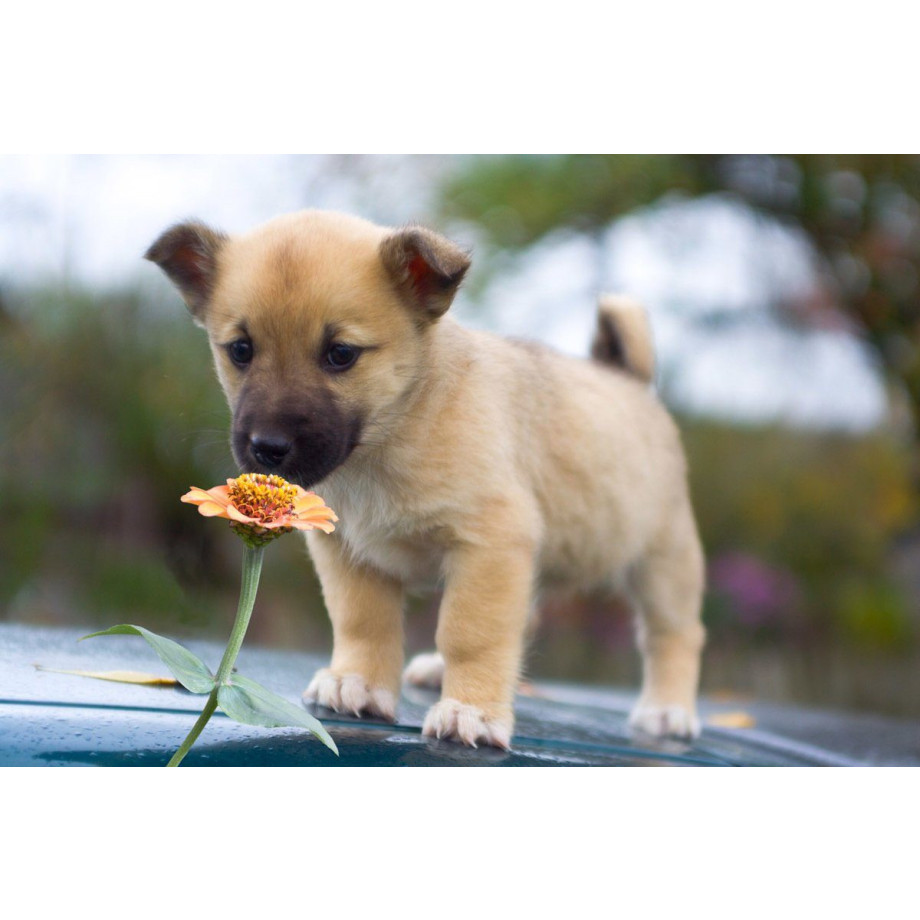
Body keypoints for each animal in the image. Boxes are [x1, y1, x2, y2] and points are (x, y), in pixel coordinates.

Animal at [147, 212, 704, 752]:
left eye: (340, 354)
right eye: (240, 350)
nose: (268, 447)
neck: (392, 438)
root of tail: (631, 381)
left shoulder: (489, 546)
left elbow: (471, 632)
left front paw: (471, 710)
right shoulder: (351, 553)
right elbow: (362, 621)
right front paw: (358, 683)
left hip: (664, 564)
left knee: (675, 635)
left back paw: (667, 710)